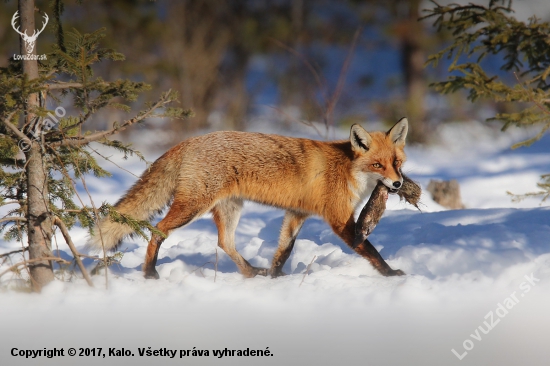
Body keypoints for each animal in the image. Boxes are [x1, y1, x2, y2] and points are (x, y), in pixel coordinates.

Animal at [90, 118, 410, 278]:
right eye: (377, 165)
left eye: (397, 163)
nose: (397, 184)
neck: (347, 170)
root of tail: (189, 141)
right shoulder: (339, 219)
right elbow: (369, 249)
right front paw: (390, 273)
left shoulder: (297, 213)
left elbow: (283, 251)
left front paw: (275, 278)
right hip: (192, 207)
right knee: (157, 230)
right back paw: (149, 273)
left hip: (228, 208)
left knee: (225, 242)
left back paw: (250, 272)